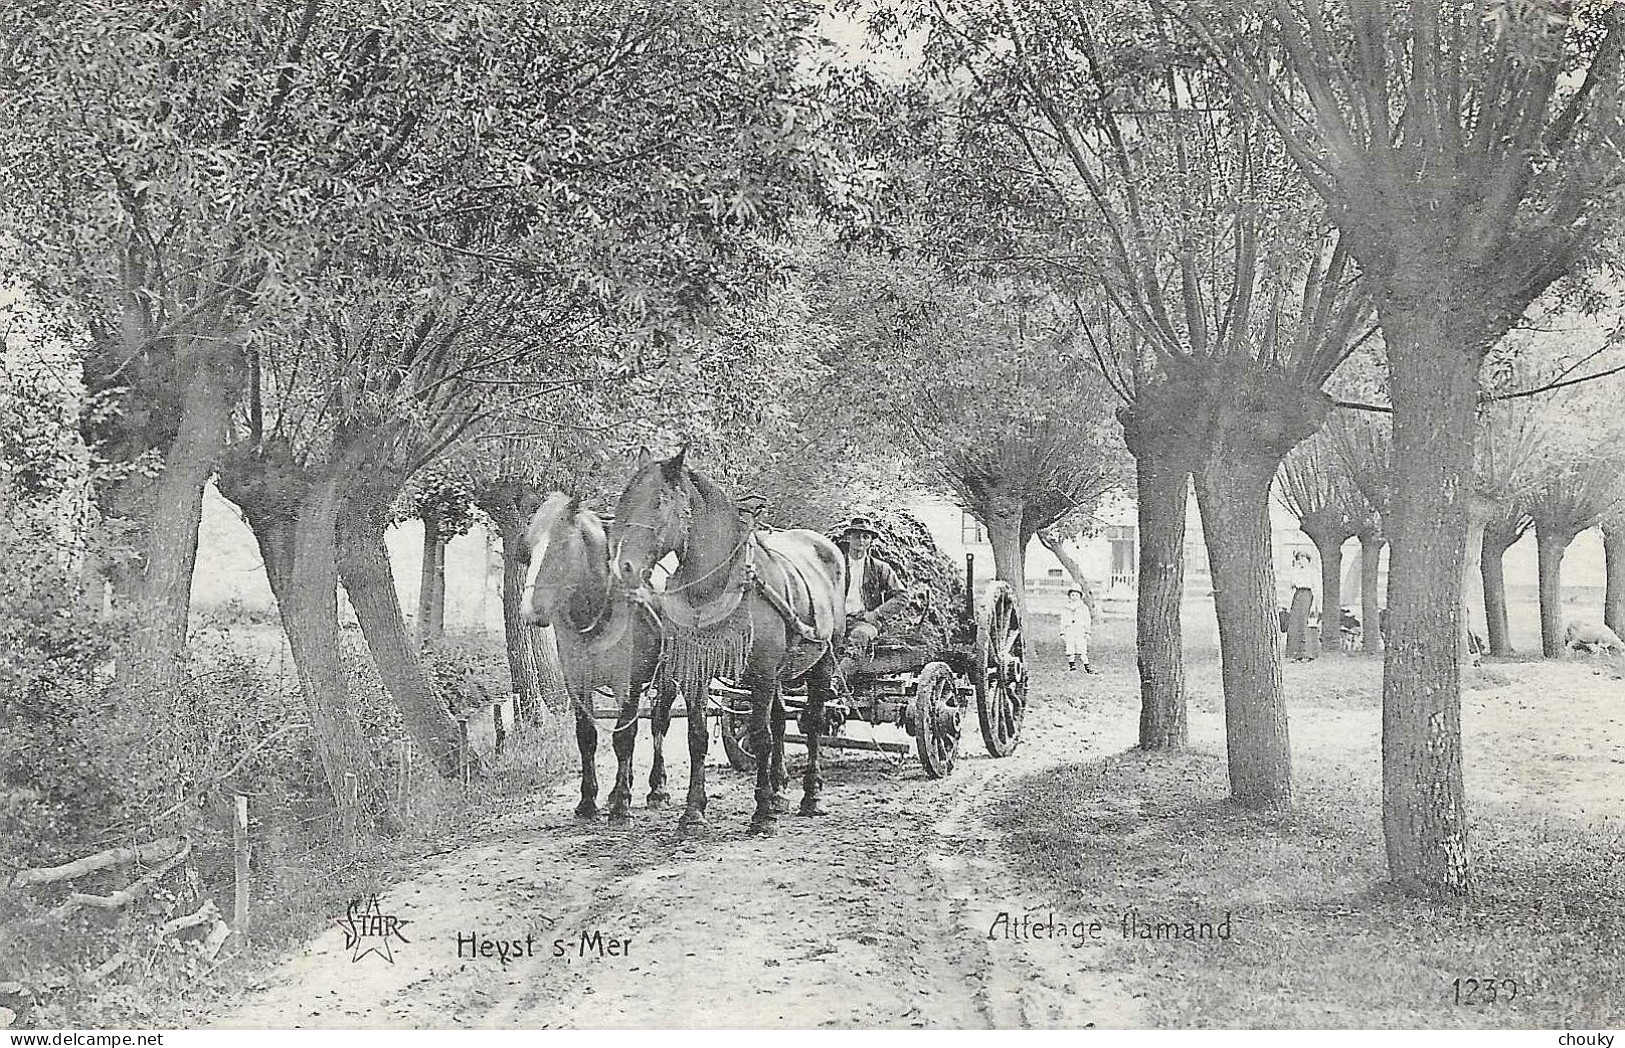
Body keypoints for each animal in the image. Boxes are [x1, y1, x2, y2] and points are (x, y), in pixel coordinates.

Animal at [516, 493, 676, 822]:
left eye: (562, 545)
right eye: (529, 548)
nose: (530, 610)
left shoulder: (627, 683)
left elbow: (625, 737)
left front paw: (622, 804)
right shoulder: (575, 682)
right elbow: (586, 736)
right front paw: (588, 800)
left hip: (672, 677)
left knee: (658, 724)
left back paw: (657, 787)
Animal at [607, 448, 845, 831]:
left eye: (660, 502)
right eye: (625, 501)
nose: (624, 567)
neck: (715, 582)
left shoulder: (762, 672)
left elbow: (760, 735)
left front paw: (762, 812)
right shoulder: (697, 670)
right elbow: (698, 737)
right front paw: (693, 811)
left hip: (822, 660)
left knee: (811, 722)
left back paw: (810, 796)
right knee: (781, 720)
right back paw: (779, 790)